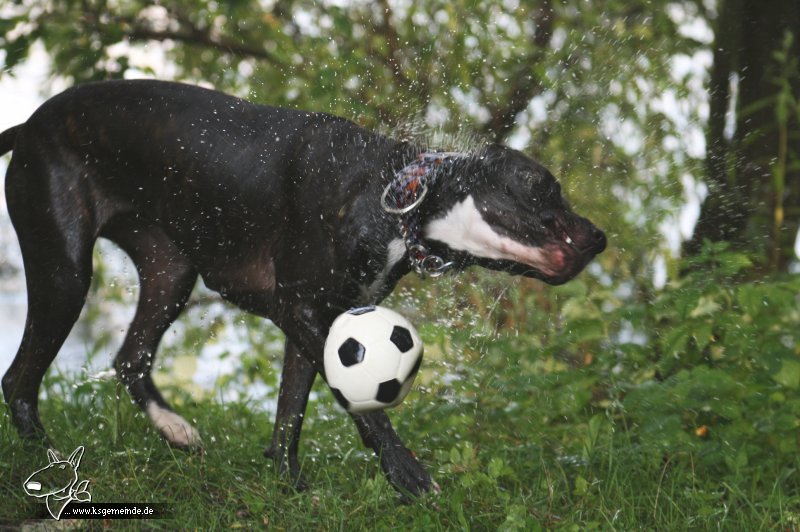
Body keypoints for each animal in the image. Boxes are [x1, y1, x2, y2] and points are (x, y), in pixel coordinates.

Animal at [0, 80, 600, 498]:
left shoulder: (321, 319)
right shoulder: (305, 311)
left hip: (170, 273)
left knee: (130, 357)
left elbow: (291, 412)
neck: (389, 193)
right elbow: (363, 407)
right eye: (542, 187)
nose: (599, 238)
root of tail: (27, 126)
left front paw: (288, 487)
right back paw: (52, 464)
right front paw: (407, 473)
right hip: (65, 275)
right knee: (19, 380)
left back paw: (174, 429)